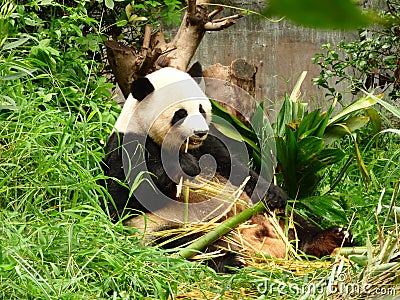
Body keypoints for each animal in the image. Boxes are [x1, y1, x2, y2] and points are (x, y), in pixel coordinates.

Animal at [101, 63, 354, 272]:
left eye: (201, 109)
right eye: (180, 113)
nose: (199, 132)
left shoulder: (211, 146)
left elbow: (238, 171)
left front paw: (274, 193)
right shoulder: (126, 146)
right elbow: (124, 197)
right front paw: (186, 166)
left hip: (267, 215)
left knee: (297, 224)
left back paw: (333, 237)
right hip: (163, 226)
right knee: (183, 243)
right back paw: (231, 260)